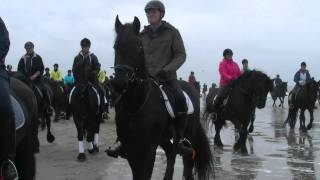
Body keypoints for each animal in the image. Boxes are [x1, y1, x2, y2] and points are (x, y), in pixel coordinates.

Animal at [111, 16, 214, 180]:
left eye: (138, 46)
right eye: (116, 46)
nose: (120, 83)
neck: (137, 105)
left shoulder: (148, 150)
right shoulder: (131, 149)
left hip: (188, 134)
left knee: (187, 160)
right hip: (165, 138)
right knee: (171, 153)